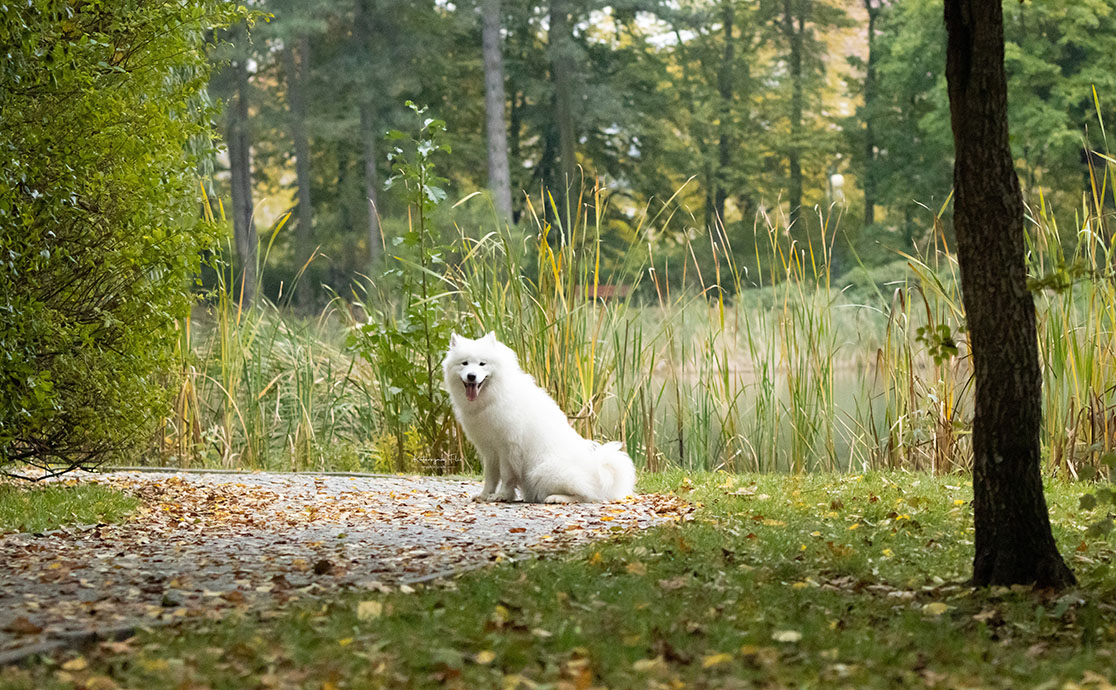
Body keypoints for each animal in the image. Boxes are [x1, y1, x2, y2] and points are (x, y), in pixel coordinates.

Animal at [444, 330, 638, 502]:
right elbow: (490, 477)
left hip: (541, 472)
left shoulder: (507, 448)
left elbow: (506, 477)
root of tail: (596, 472)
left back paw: (557, 498)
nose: (471, 376)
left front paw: (502, 496)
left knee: (586, 495)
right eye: (464, 363)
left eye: (482, 364)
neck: (494, 395)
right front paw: (485, 495)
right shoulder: (490, 450)